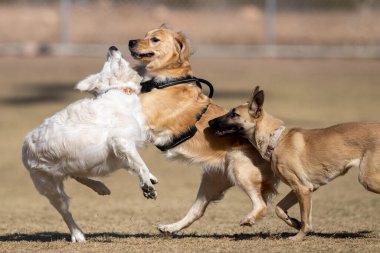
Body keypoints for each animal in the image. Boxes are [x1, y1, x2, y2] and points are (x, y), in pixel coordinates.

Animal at [22, 46, 157, 242]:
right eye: (111, 61)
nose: (112, 47)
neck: (119, 90)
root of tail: (25, 145)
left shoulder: (124, 148)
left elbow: (135, 163)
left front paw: (149, 178)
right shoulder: (120, 141)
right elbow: (139, 164)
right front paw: (147, 184)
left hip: (75, 164)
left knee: (77, 175)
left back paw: (100, 187)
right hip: (50, 187)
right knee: (65, 212)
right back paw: (77, 234)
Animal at [129, 28, 278, 233]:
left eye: (154, 39)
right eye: (145, 35)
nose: (130, 42)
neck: (164, 81)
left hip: (240, 167)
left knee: (261, 205)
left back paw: (249, 219)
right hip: (213, 179)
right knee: (197, 211)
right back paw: (171, 227)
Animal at [209, 87, 380, 241]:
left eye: (234, 114)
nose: (210, 121)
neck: (276, 140)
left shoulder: (302, 188)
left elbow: (305, 220)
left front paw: (298, 236)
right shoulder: (304, 187)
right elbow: (279, 208)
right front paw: (294, 222)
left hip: (367, 179)